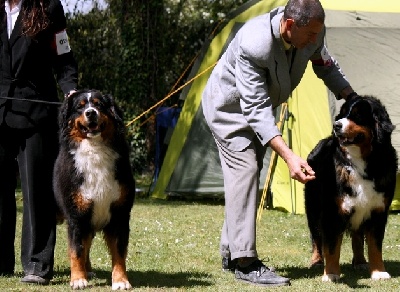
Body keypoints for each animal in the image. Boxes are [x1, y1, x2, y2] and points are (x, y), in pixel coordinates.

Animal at [53, 89, 136, 290]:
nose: (91, 113)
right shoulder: (77, 216)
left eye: (99, 105)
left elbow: (119, 252)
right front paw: (77, 279)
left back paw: (88, 270)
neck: (95, 151)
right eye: (80, 106)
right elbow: (76, 250)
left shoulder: (120, 215)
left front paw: (121, 280)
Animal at [306, 94, 396, 282]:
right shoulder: (333, 210)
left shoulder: (378, 210)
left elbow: (375, 246)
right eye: (342, 114)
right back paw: (317, 262)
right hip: (314, 207)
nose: (336, 125)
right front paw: (331, 274)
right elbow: (332, 246)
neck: (362, 162)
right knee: (316, 237)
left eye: (358, 115)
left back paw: (360, 261)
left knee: (357, 236)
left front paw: (379, 272)